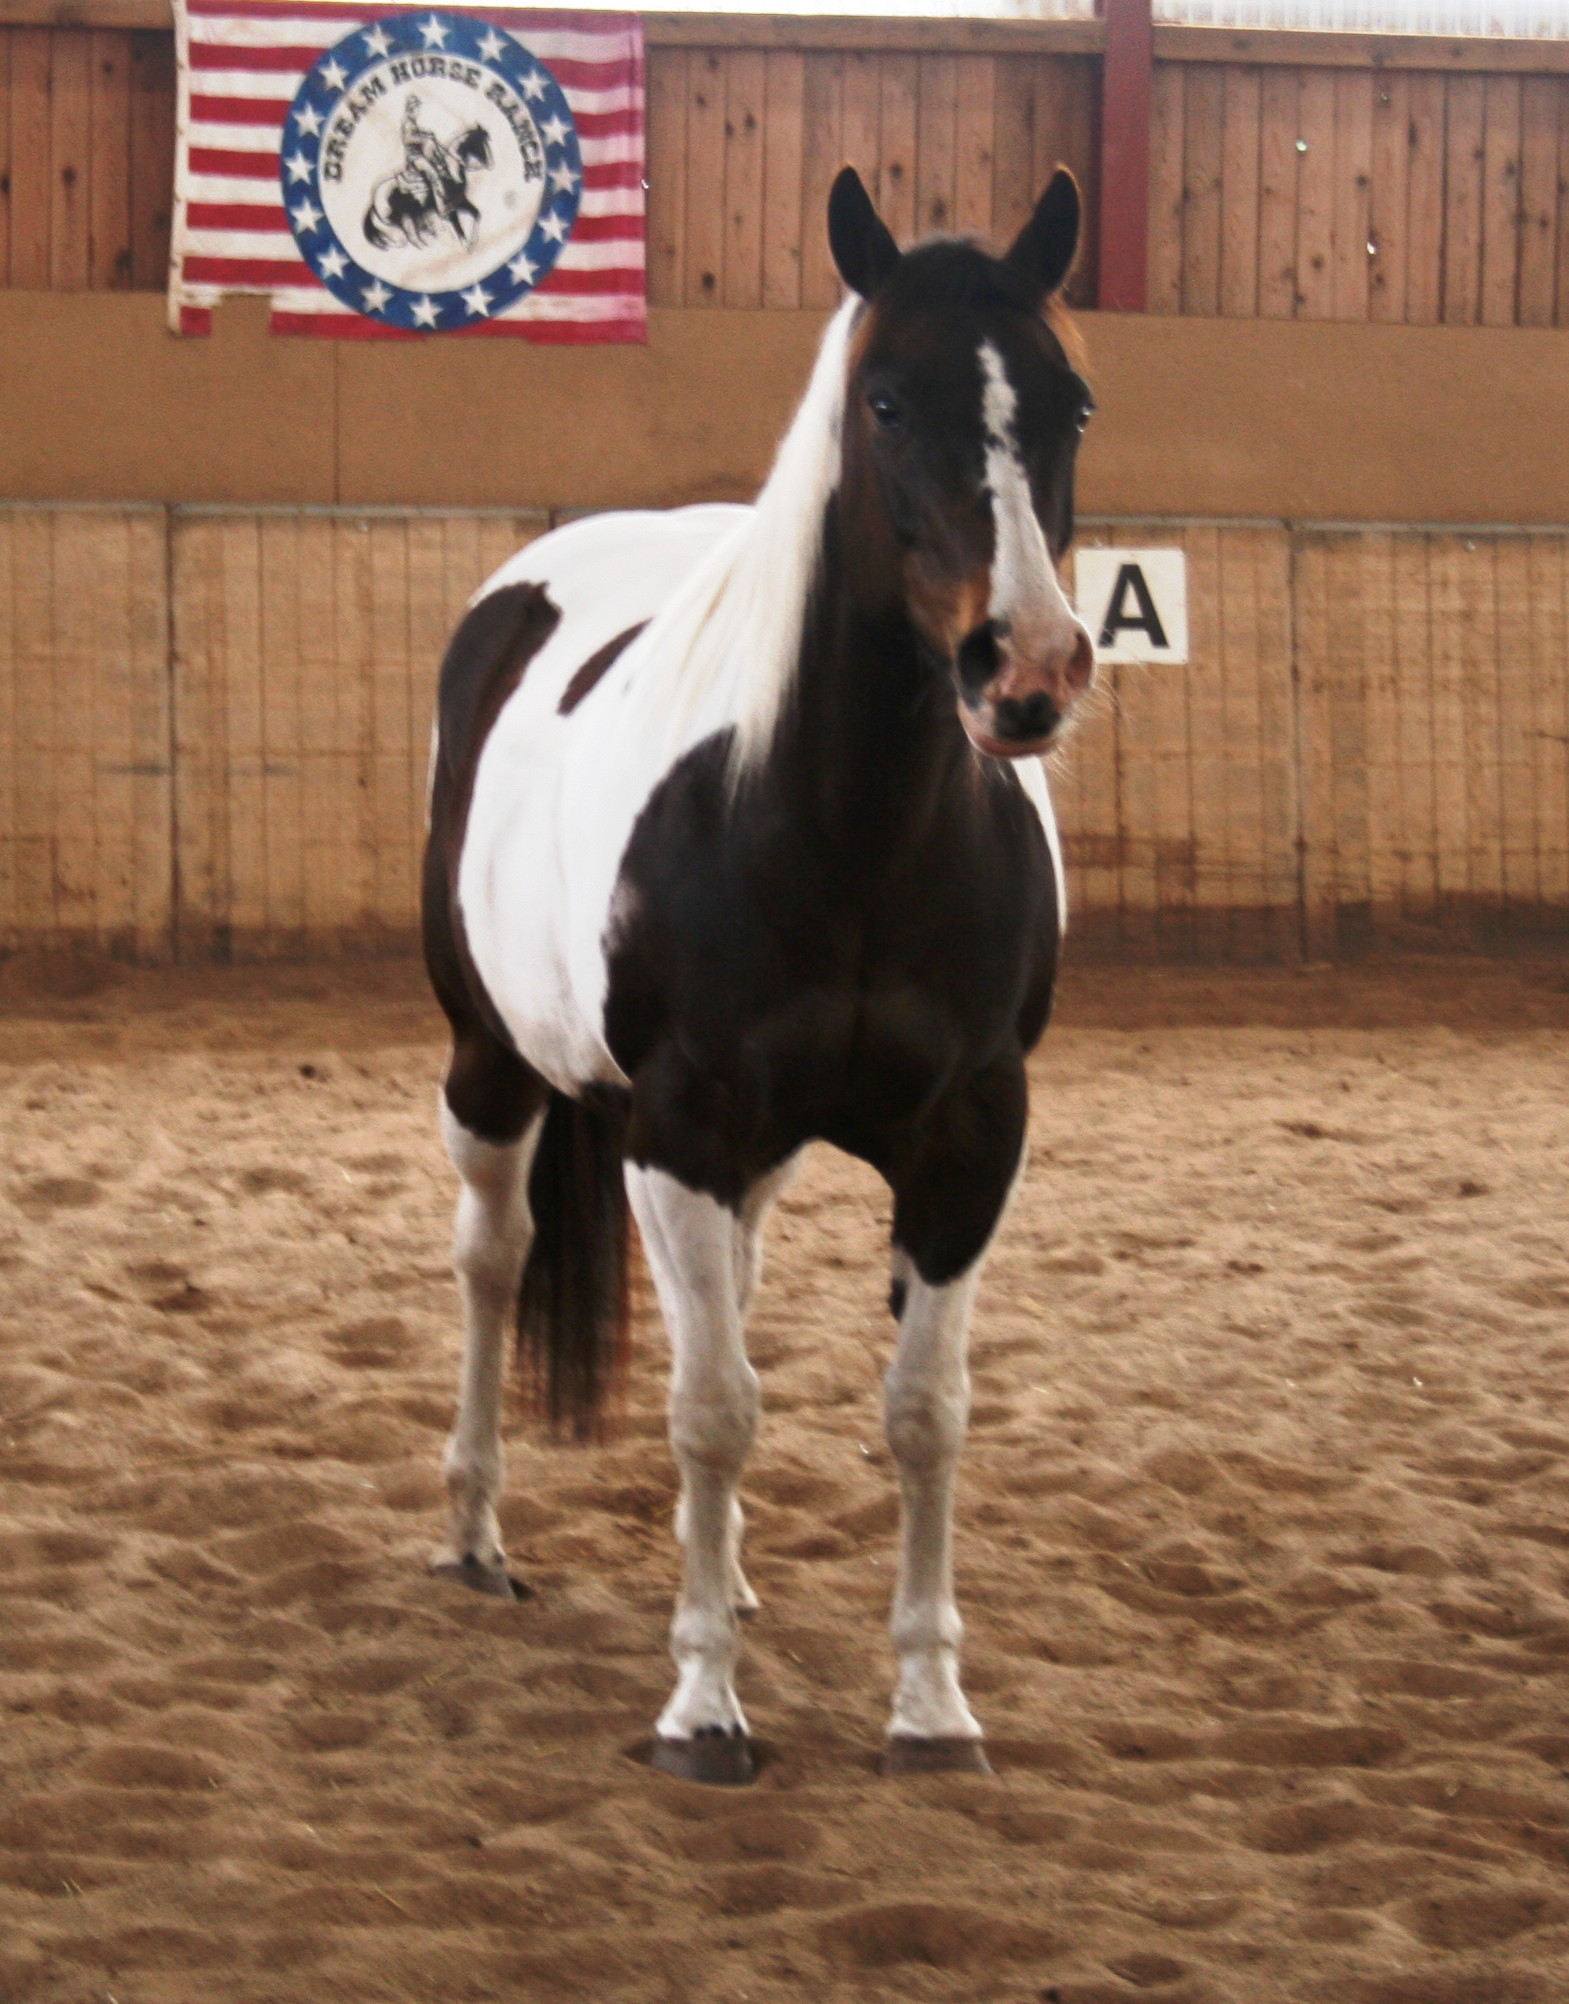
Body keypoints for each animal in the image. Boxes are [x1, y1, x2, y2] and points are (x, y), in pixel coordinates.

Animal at [362, 123, 492, 253]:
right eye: (480, 145)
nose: (491, 165)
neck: (450, 173)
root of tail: (373, 205)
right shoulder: (449, 210)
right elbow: (459, 231)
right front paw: (467, 245)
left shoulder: (461, 202)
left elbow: (477, 214)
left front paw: (472, 242)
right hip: (404, 219)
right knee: (410, 238)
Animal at [421, 164, 1096, 1785]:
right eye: (887, 402)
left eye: (1069, 404)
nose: (1025, 669)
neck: (845, 825)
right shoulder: (681, 1131)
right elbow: (712, 1409)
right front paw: (703, 1709)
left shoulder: (971, 1138)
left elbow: (925, 1415)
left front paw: (929, 1707)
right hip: (489, 1065)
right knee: (492, 1262)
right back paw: (474, 1536)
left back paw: (724, 1580)